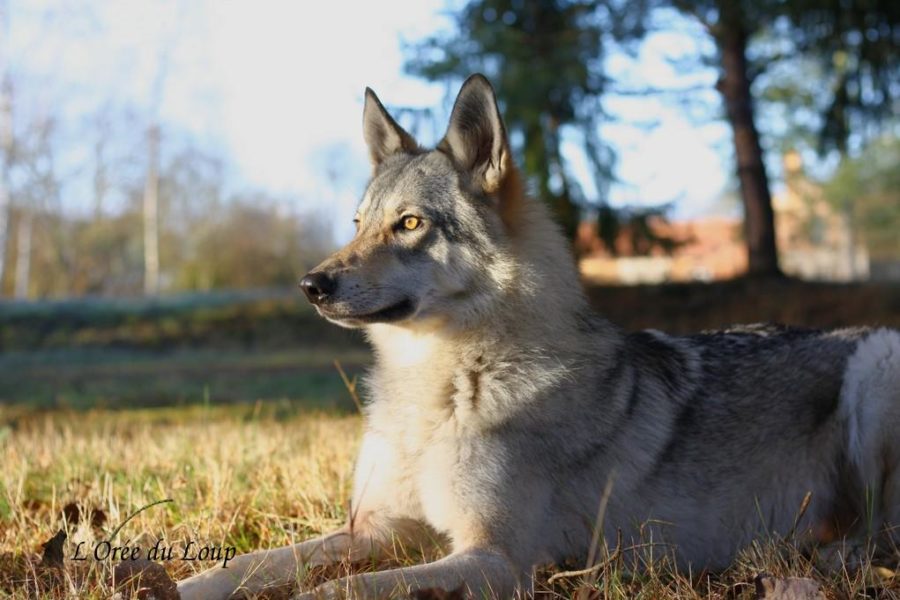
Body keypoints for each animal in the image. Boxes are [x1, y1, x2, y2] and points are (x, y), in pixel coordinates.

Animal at [178, 75, 900, 600]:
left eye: (409, 224)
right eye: (358, 224)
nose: (311, 285)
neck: (443, 387)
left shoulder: (494, 558)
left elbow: (339, 590)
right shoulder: (377, 528)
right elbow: (260, 562)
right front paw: (188, 585)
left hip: (876, 368)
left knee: (881, 537)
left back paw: (821, 556)